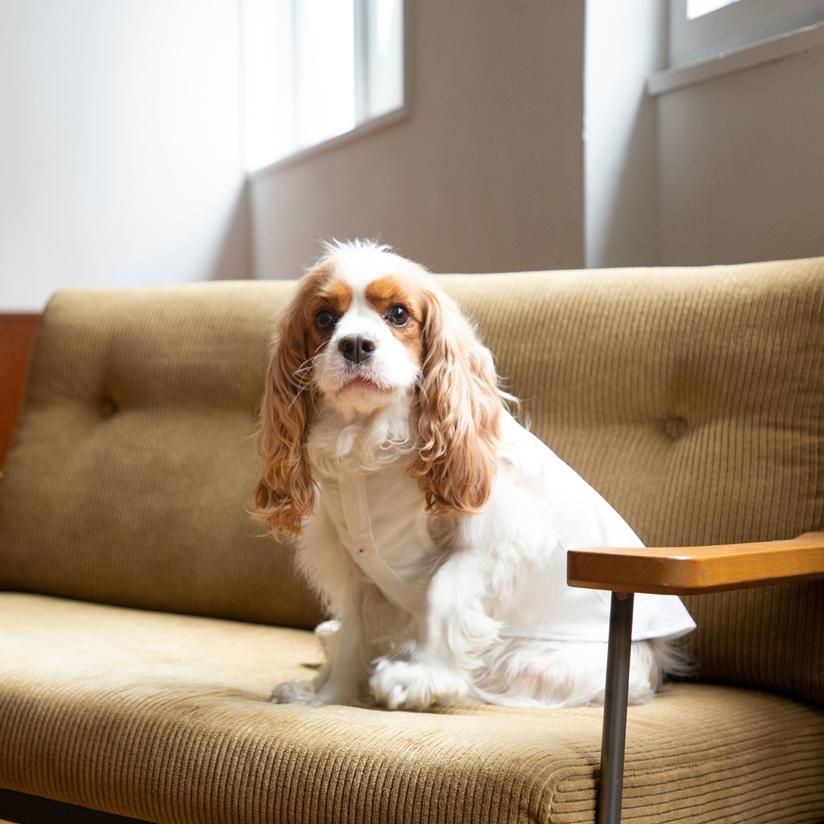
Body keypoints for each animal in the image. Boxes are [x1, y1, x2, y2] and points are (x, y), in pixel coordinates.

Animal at [253, 241, 696, 712]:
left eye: (398, 314)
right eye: (323, 319)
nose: (355, 344)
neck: (365, 439)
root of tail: (653, 665)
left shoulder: (496, 539)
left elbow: (443, 592)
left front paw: (422, 677)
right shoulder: (358, 567)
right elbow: (355, 629)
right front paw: (328, 696)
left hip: (531, 663)